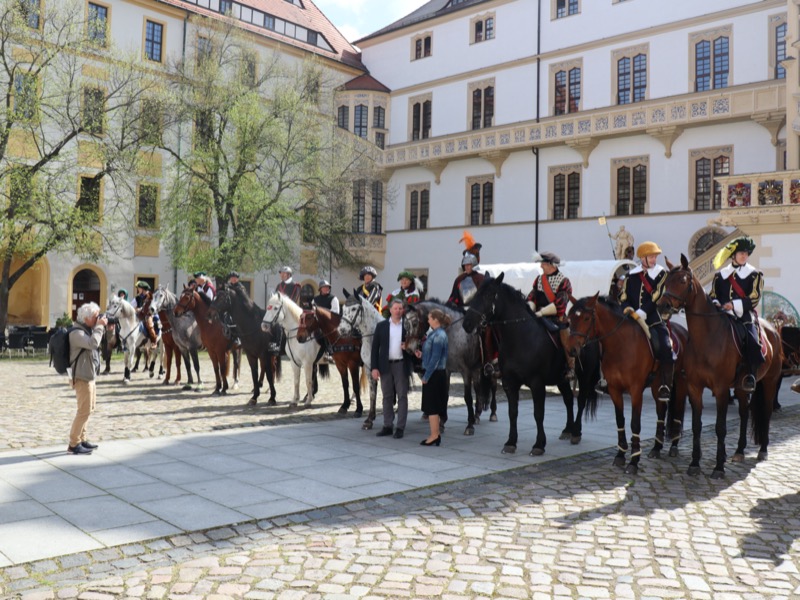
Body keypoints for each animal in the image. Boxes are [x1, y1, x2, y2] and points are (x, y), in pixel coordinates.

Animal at [460, 274, 596, 458]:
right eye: (475, 294)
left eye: (488, 295)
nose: (466, 323)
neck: (520, 338)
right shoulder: (510, 383)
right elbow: (513, 412)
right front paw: (511, 442)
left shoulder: (537, 383)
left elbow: (538, 414)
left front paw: (539, 445)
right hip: (561, 379)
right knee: (568, 399)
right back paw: (567, 430)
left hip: (584, 376)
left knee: (581, 400)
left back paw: (576, 432)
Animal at [564, 292, 692, 476]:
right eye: (570, 319)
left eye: (587, 318)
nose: (571, 349)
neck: (620, 345)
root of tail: (682, 330)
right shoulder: (614, 390)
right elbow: (620, 420)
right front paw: (620, 454)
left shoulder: (636, 391)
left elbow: (635, 423)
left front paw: (634, 460)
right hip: (657, 386)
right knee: (661, 411)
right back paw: (656, 448)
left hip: (680, 383)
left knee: (678, 410)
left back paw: (673, 446)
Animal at [660, 254, 784, 478]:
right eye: (666, 282)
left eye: (682, 280)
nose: (662, 306)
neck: (707, 338)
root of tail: (773, 328)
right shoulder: (694, 387)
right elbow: (697, 426)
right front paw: (695, 463)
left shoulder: (721, 388)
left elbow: (720, 427)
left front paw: (718, 467)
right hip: (743, 387)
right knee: (744, 413)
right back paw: (739, 451)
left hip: (770, 382)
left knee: (766, 412)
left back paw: (762, 450)